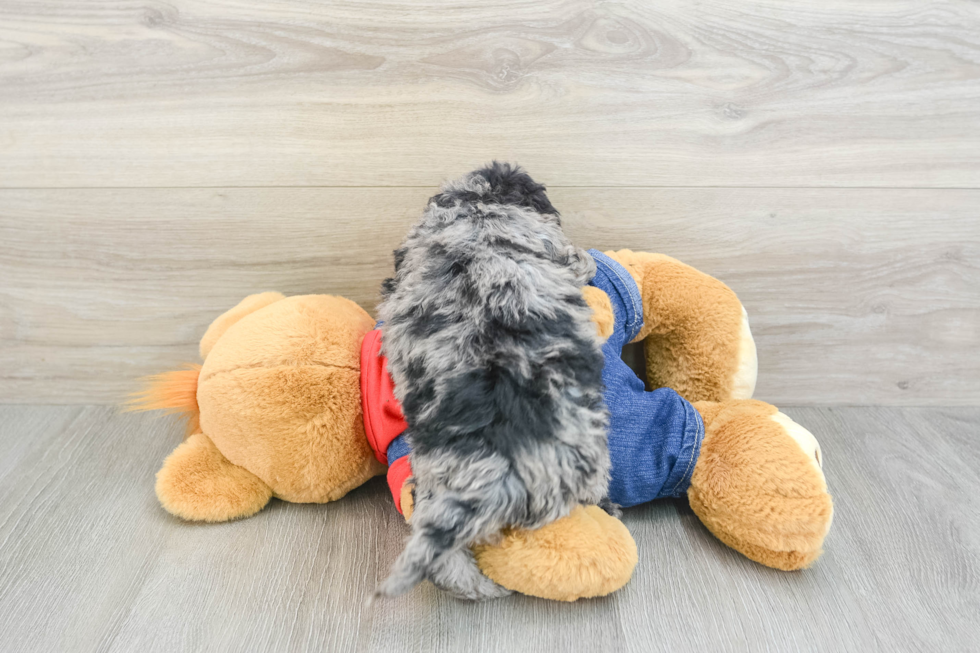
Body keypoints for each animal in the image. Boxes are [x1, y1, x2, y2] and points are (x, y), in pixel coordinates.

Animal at [378, 163, 612, 600]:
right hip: (586, 460)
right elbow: (579, 261)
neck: (478, 207)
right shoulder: (555, 249)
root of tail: (501, 466)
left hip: (435, 476)